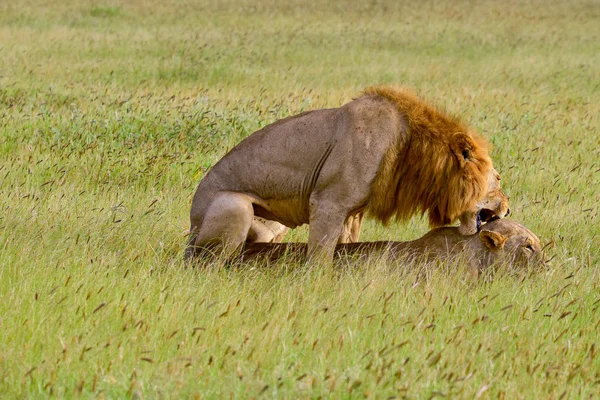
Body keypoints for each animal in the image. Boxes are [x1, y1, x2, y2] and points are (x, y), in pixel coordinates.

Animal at [185, 85, 508, 262]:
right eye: (498, 179)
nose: (508, 209)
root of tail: (191, 222)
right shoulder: (328, 202)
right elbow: (320, 256)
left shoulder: (351, 213)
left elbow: (346, 248)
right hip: (234, 207)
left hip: (269, 229)